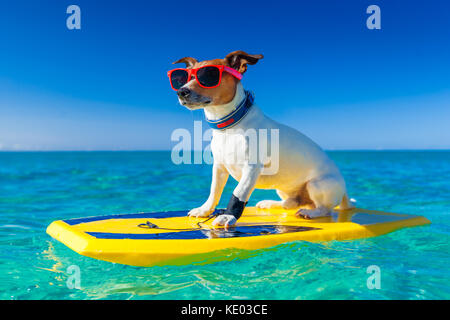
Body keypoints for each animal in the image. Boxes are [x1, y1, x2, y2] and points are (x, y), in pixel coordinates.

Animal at [167, 50, 354, 228]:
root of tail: (345, 190)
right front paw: (205, 210)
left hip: (317, 184)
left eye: (208, 76)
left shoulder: (251, 169)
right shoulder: (219, 167)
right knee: (290, 203)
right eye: (184, 78)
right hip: (284, 189)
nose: (181, 91)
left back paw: (311, 213)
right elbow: (214, 191)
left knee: (325, 209)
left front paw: (228, 216)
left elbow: (239, 193)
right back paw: (271, 203)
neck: (229, 128)